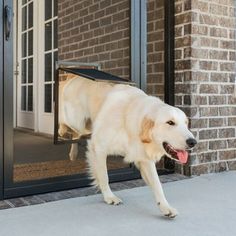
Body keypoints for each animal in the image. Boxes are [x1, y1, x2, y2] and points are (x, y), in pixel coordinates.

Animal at [59, 77, 197, 218]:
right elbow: (104, 176)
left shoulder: (144, 158)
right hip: (76, 122)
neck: (127, 117)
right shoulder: (99, 147)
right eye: (170, 122)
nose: (193, 142)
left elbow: (157, 184)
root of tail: (72, 78)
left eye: (186, 123)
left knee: (75, 134)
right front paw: (109, 197)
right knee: (65, 128)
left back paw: (73, 154)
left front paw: (165, 207)